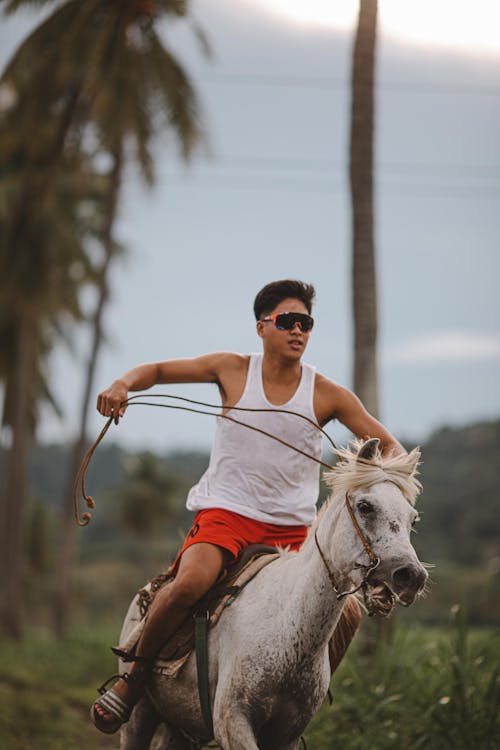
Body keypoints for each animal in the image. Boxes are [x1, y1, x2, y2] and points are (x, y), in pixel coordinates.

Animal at [116, 440, 426, 750]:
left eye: (413, 519)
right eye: (365, 507)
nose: (411, 576)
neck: (286, 626)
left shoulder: (285, 735)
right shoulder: (232, 721)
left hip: (182, 726)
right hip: (139, 718)